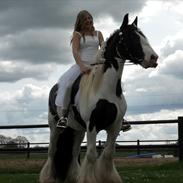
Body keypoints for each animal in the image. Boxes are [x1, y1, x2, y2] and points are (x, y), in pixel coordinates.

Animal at [39, 13, 158, 183]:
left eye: (143, 36)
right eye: (132, 37)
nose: (154, 58)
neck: (104, 87)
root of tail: (54, 88)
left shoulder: (114, 126)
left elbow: (108, 154)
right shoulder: (92, 125)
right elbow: (91, 155)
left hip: (77, 130)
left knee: (74, 154)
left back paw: (73, 177)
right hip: (55, 127)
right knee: (51, 152)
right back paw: (48, 177)